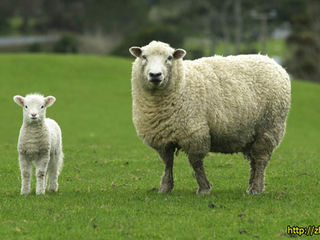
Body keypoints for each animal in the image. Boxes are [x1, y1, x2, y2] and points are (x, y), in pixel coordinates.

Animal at [129, 40, 292, 195]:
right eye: (144, 57)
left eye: (169, 58)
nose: (155, 75)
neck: (182, 84)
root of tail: (271, 61)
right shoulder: (162, 138)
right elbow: (168, 163)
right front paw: (165, 188)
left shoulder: (195, 133)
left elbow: (195, 163)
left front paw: (204, 189)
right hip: (252, 134)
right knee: (254, 162)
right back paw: (252, 185)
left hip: (269, 127)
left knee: (261, 158)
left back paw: (256, 189)